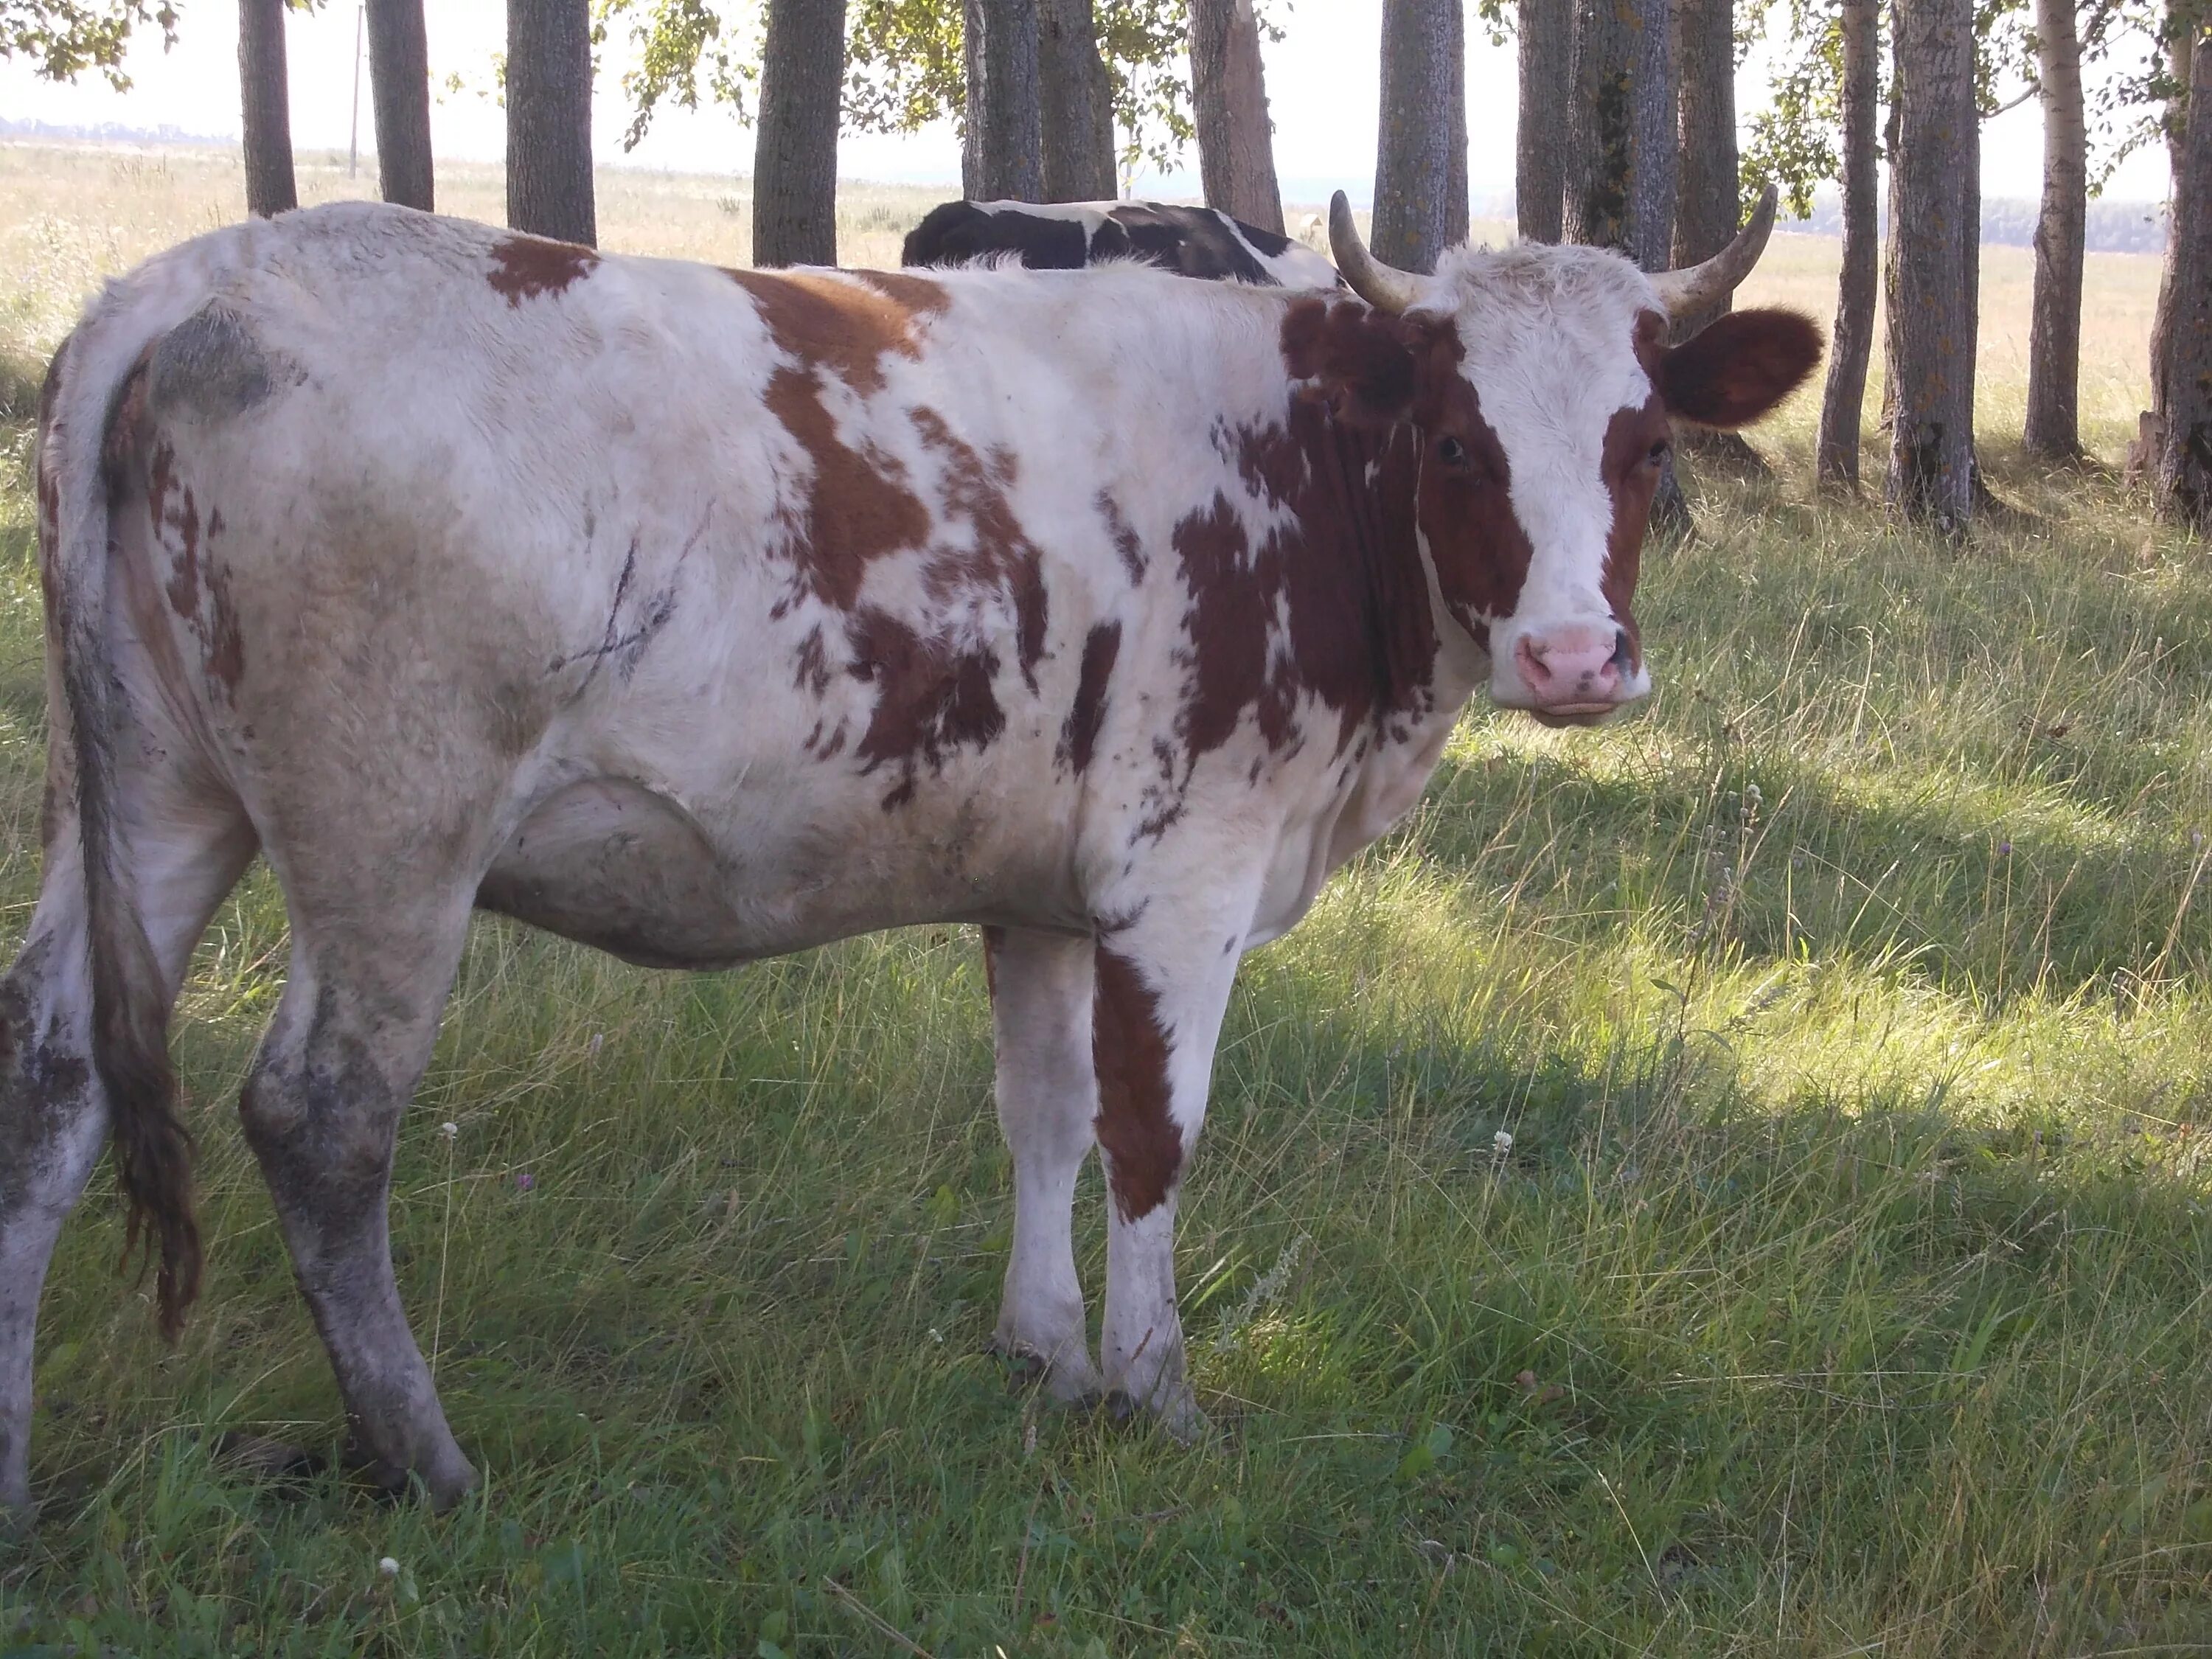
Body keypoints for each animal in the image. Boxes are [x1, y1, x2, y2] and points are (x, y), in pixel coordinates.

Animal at [0, 195, 1814, 1522]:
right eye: (1456, 443)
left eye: (1648, 446)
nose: (1576, 660)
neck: (1295, 458)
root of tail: (197, 281)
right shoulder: (1186, 874)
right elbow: (1152, 1135)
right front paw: (1157, 1393)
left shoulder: (1045, 892)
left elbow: (1046, 1116)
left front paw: (1047, 1356)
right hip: (390, 831)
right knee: (322, 1118)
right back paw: (425, 1458)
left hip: (152, 801)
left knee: (53, 1081)